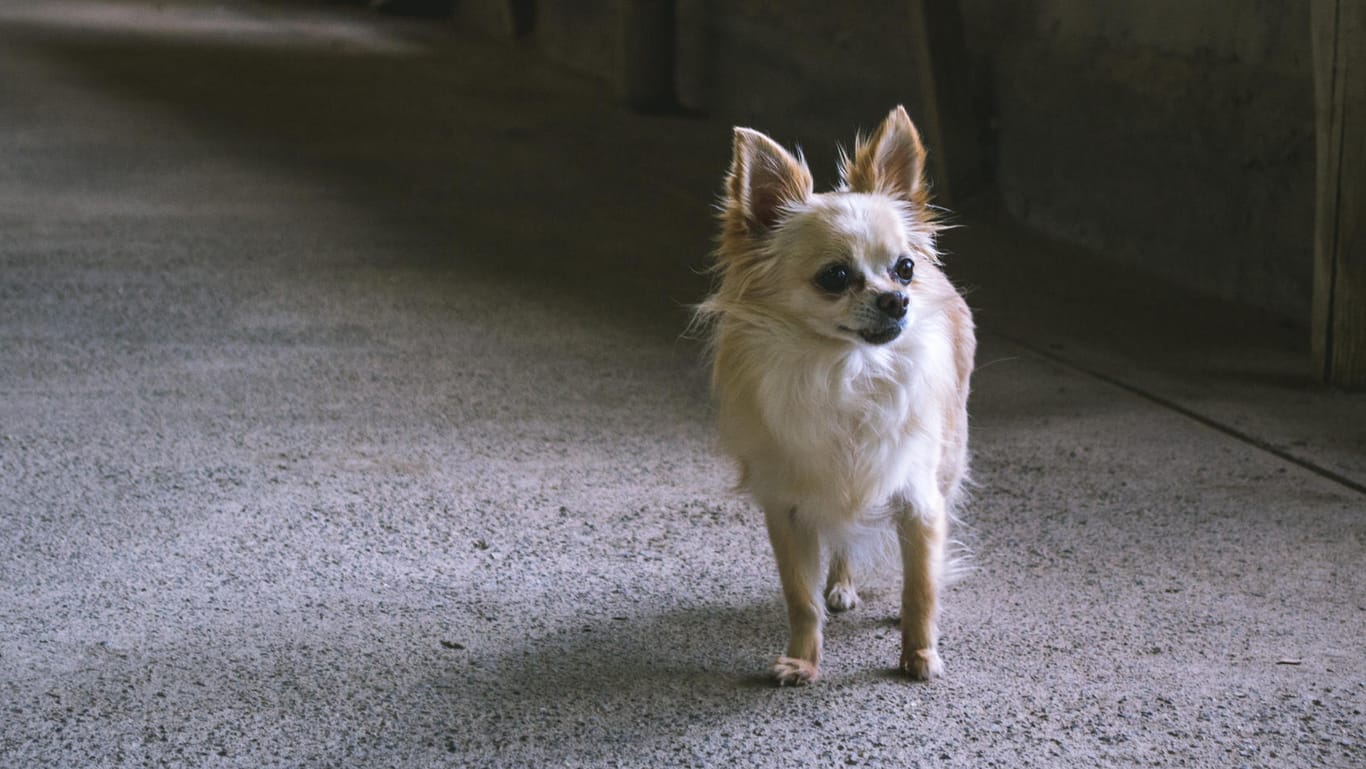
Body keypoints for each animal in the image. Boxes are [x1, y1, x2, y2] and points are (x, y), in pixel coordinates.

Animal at [699, 103, 978, 685]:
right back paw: (842, 584)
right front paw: (803, 661)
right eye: (834, 276)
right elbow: (800, 598)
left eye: (905, 268)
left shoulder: (920, 501)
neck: (846, 372)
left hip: (946, 463)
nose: (897, 299)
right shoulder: (788, 508)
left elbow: (920, 586)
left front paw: (919, 654)